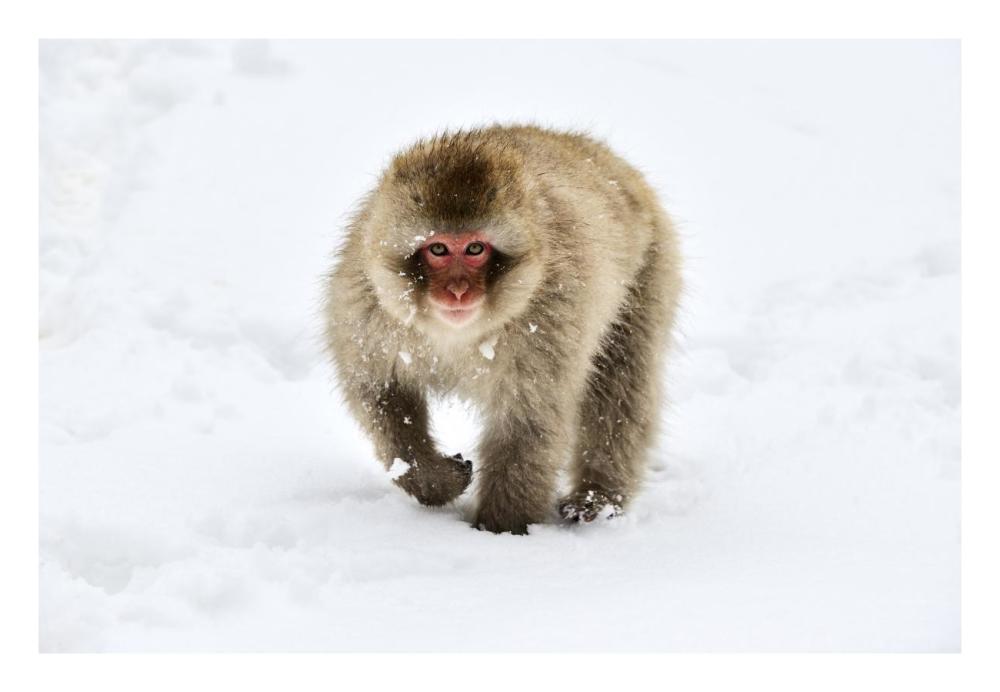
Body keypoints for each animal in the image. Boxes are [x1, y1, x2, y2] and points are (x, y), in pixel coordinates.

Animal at [323, 124, 682, 534]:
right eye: (439, 250)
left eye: (475, 249)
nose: (458, 290)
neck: (456, 333)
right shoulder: (363, 308)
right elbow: (380, 393)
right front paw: (432, 480)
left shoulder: (553, 319)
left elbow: (527, 423)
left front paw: (500, 529)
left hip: (649, 271)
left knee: (621, 386)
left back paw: (598, 498)